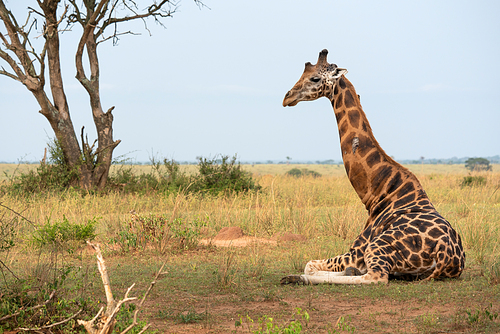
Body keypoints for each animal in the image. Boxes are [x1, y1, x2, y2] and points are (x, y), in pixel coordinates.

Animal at [282, 49, 464, 284]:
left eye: (314, 78)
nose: (287, 97)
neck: (378, 193)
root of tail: (446, 257)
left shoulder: (355, 251)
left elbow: (310, 264)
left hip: (378, 247)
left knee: (375, 277)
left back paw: (295, 278)